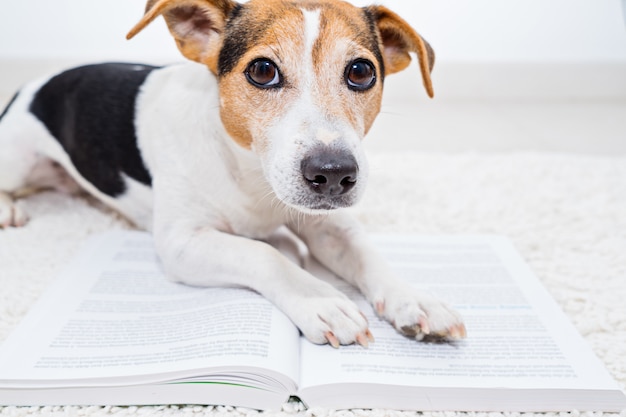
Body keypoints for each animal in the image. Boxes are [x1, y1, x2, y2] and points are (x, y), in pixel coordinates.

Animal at [0, 0, 464, 346]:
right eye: (262, 70)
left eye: (361, 71)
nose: (333, 174)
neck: (250, 173)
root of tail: (31, 86)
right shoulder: (181, 242)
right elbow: (263, 255)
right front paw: (318, 297)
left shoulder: (330, 225)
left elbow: (366, 252)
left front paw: (414, 299)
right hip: (16, 157)